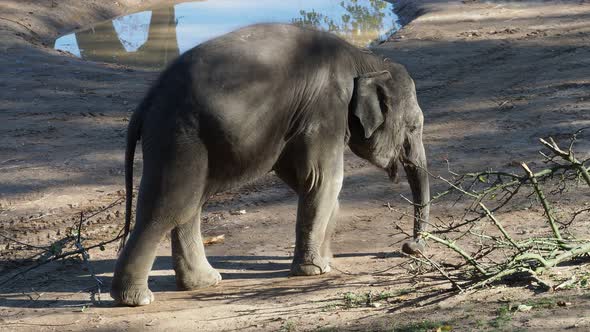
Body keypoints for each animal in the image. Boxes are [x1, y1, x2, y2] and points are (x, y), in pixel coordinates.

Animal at [110, 23, 430, 306]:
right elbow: (324, 178)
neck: (363, 60)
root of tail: (147, 100)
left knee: (189, 204)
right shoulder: (326, 108)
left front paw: (325, 259)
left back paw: (204, 283)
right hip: (180, 135)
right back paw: (136, 299)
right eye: (414, 127)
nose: (410, 248)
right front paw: (316, 270)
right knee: (169, 206)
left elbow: (304, 179)